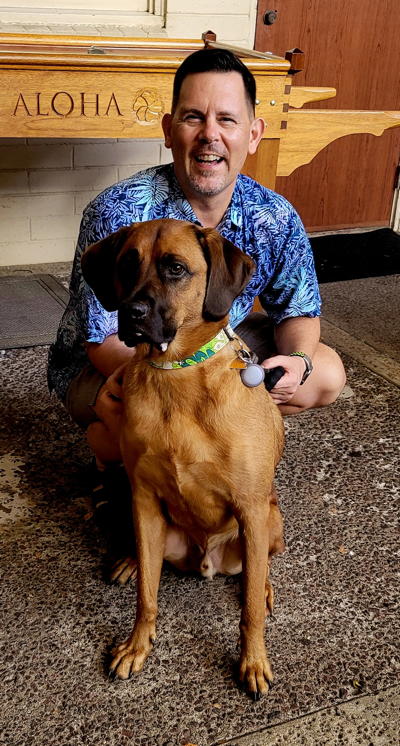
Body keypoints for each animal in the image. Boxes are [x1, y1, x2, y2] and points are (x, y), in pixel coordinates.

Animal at [82, 217, 284, 696]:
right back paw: (130, 560)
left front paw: (253, 661)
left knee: (259, 571)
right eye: (127, 263)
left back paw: (266, 587)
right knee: (148, 557)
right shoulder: (143, 497)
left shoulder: (251, 508)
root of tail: (206, 561)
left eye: (176, 268)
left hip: (270, 520)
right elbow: (147, 595)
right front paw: (137, 645)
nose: (131, 313)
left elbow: (248, 608)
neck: (176, 374)